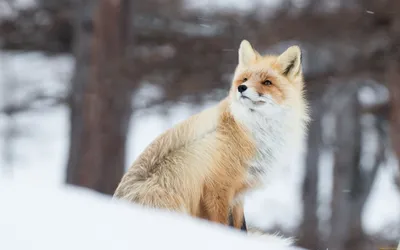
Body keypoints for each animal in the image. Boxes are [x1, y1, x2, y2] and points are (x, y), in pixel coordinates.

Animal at [112, 39, 310, 230]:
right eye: (245, 79)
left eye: (267, 82)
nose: (242, 88)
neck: (251, 131)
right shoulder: (217, 189)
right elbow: (221, 224)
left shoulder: (238, 194)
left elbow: (240, 227)